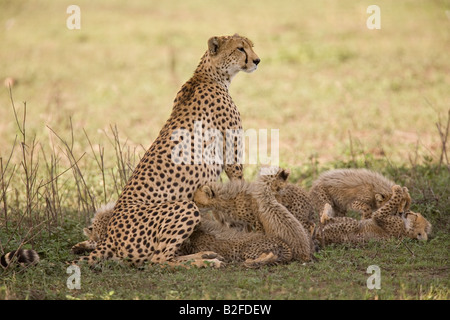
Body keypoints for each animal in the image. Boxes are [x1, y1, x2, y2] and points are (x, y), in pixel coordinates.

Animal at [75, 34, 260, 268]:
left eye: (251, 46)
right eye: (240, 49)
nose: (257, 60)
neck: (208, 75)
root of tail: (110, 237)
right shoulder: (231, 156)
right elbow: (239, 188)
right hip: (185, 207)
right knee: (158, 260)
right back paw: (205, 260)